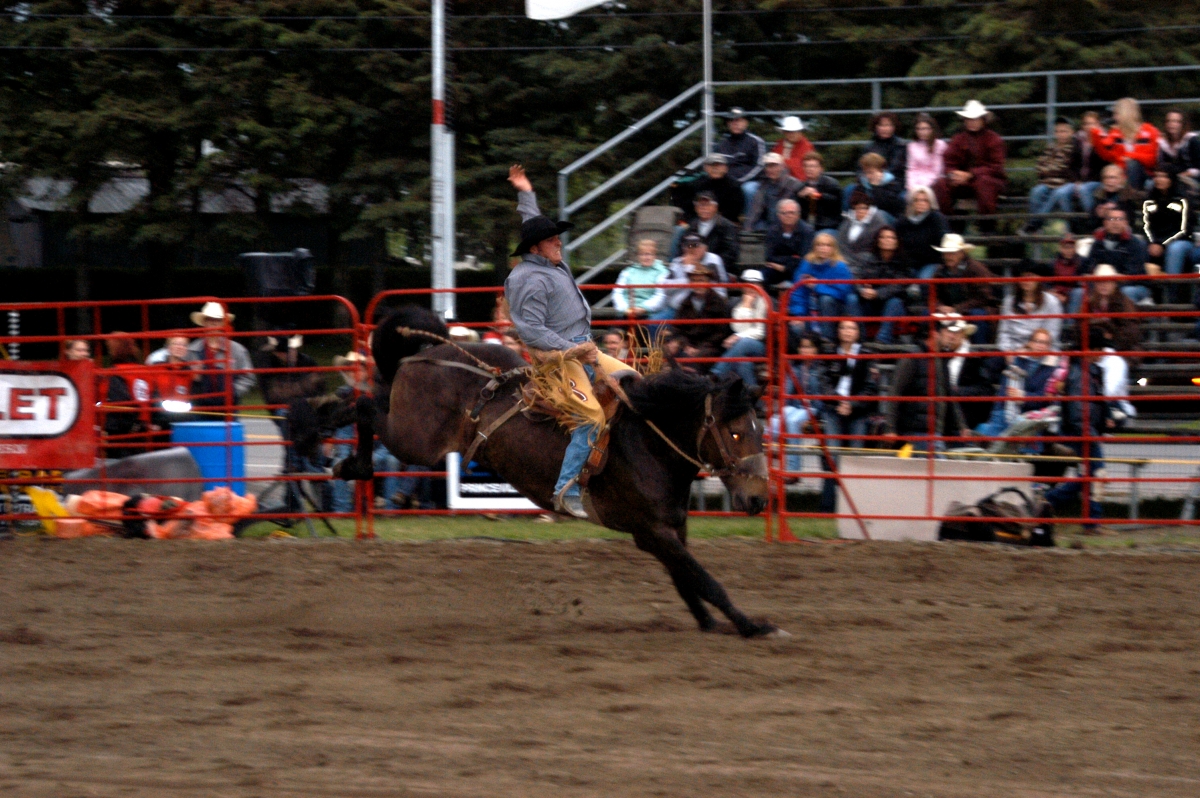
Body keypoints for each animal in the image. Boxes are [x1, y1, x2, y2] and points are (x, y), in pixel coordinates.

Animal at [292, 303, 777, 633]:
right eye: (737, 434)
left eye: (760, 431)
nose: (758, 499)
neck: (648, 440)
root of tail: (429, 353)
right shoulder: (653, 532)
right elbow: (704, 579)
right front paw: (754, 626)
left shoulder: (671, 529)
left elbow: (687, 580)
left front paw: (711, 625)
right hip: (417, 439)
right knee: (365, 407)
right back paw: (335, 449)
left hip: (408, 422)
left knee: (363, 400)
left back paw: (323, 432)